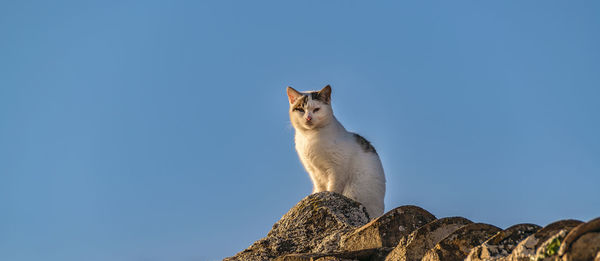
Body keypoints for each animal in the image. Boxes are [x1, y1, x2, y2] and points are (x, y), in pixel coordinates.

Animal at [284, 84, 384, 216]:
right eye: (301, 109)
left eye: (316, 109)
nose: (308, 118)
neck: (310, 138)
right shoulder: (313, 170)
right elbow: (320, 187)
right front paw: (318, 195)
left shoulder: (337, 168)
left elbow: (333, 188)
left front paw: (329, 196)